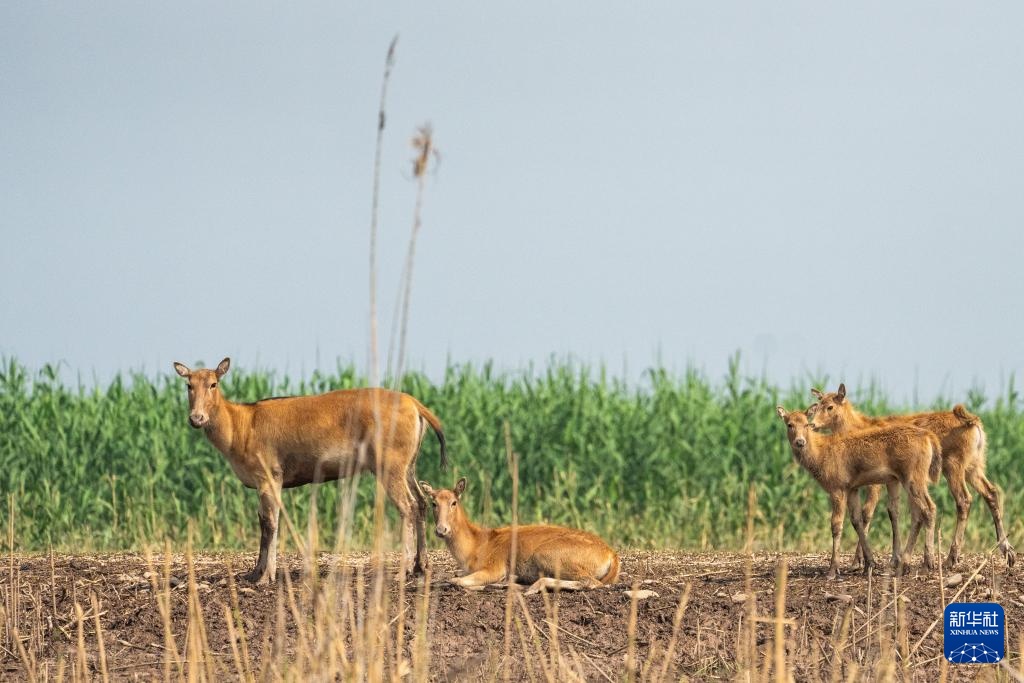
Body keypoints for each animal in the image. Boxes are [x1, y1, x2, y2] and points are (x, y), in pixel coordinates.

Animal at [173, 357, 448, 584]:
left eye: (213, 383)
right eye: (189, 385)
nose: (196, 418)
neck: (239, 427)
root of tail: (416, 406)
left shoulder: (270, 475)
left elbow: (270, 522)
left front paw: (266, 576)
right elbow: (262, 520)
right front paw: (254, 573)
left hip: (389, 464)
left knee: (407, 506)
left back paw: (403, 570)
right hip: (408, 465)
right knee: (421, 502)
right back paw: (421, 565)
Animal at [418, 478, 620, 594]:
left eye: (454, 502)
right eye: (433, 503)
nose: (441, 530)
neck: (474, 547)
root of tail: (611, 555)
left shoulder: (494, 566)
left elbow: (455, 580)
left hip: (548, 554)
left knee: (591, 582)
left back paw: (530, 587)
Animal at [776, 405, 941, 579]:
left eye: (806, 424)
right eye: (790, 424)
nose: (800, 442)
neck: (821, 454)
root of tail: (930, 438)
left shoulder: (838, 487)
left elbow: (836, 524)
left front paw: (833, 570)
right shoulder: (852, 488)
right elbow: (856, 521)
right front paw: (870, 563)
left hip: (913, 477)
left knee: (929, 508)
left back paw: (927, 564)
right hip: (909, 479)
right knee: (917, 514)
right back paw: (905, 565)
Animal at [810, 383, 1015, 568]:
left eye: (830, 406)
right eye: (817, 405)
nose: (812, 424)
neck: (857, 426)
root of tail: (973, 422)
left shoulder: (876, 481)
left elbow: (868, 513)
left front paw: (859, 562)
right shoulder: (891, 480)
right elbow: (894, 512)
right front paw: (893, 558)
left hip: (953, 466)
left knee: (964, 500)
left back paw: (950, 558)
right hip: (974, 466)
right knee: (991, 492)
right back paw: (1008, 551)